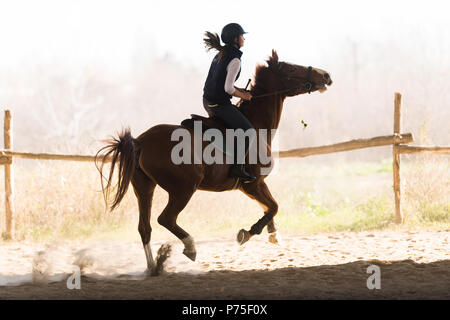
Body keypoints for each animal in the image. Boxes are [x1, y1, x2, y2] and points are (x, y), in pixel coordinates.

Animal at [96, 49, 334, 272]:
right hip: (183, 188)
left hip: (145, 188)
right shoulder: (251, 185)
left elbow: (270, 206)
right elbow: (273, 206)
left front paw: (273, 234)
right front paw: (248, 233)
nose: (326, 75)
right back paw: (189, 248)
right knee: (166, 219)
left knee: (145, 228)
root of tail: (141, 140)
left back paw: (153, 267)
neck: (257, 124)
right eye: (291, 68)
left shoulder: (257, 184)